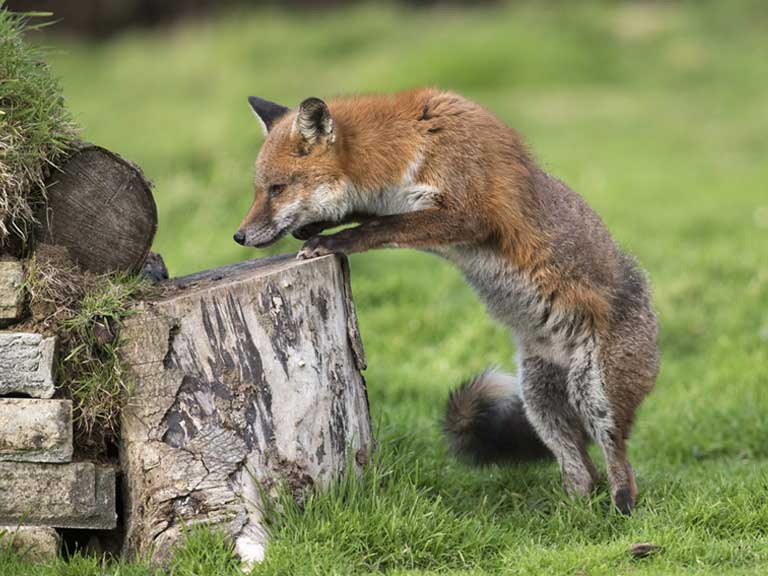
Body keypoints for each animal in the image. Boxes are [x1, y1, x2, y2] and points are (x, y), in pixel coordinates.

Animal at [234, 88, 660, 514]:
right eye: (258, 189)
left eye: (276, 188)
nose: (239, 235)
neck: (411, 144)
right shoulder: (400, 201)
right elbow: (369, 214)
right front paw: (316, 227)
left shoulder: (469, 213)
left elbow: (381, 227)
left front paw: (332, 240)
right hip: (541, 404)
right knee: (583, 473)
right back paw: (571, 513)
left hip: (595, 397)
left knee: (619, 465)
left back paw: (620, 510)